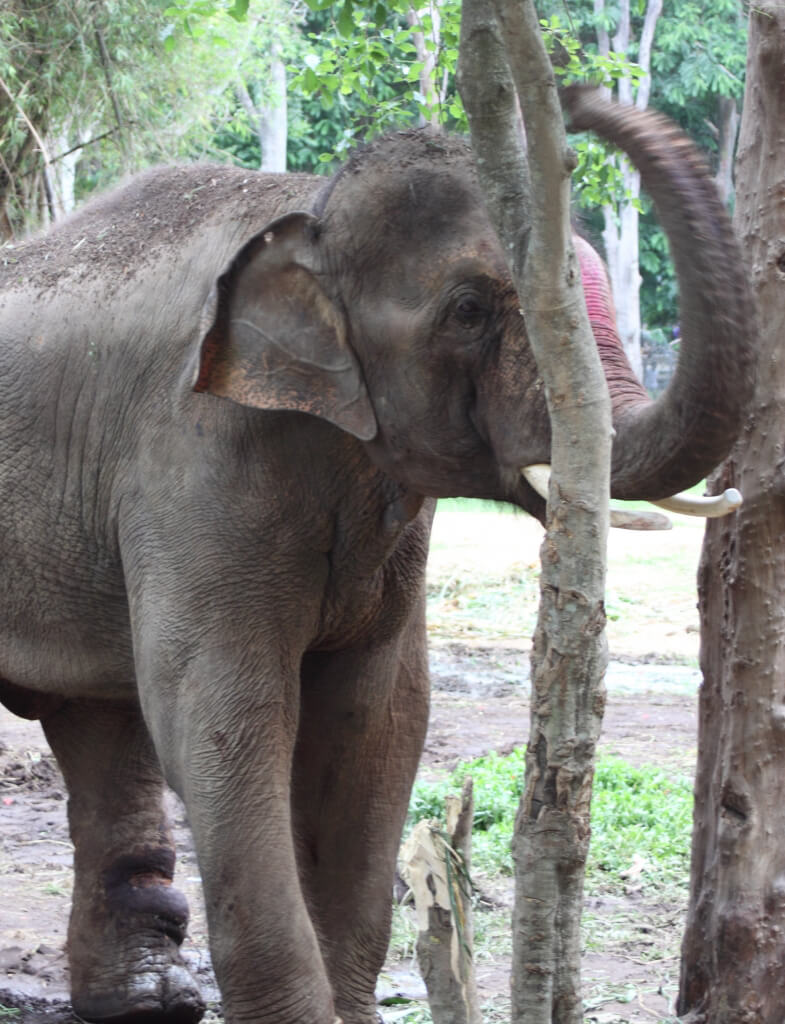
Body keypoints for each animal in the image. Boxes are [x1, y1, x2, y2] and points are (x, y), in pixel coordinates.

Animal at [0, 90, 753, 1024]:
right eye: (468, 309)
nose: (581, 103)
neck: (308, 207)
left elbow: (375, 725)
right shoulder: (188, 459)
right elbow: (222, 721)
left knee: (96, 720)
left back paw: (147, 998)